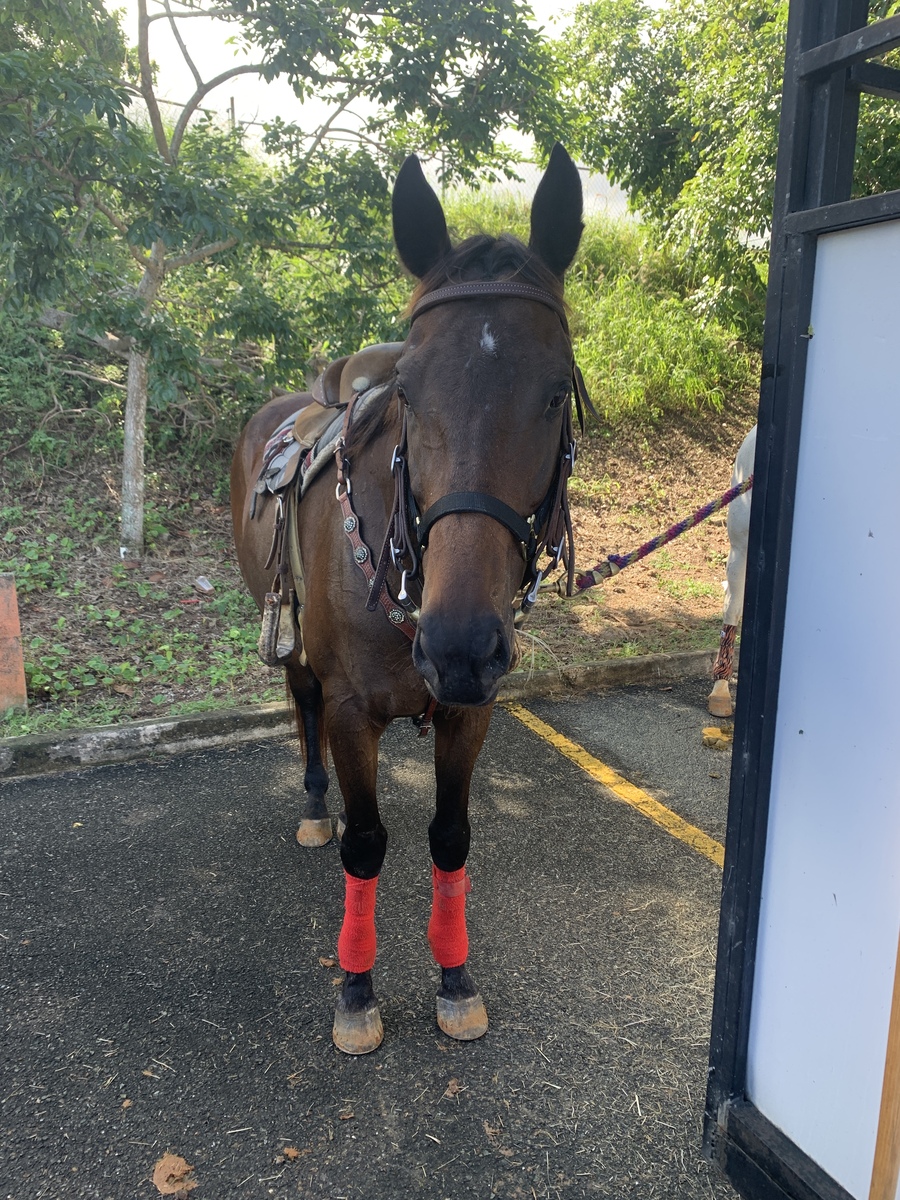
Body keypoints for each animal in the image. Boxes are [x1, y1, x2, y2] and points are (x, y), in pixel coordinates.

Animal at [231, 145, 586, 1055]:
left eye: (554, 392)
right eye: (410, 393)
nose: (458, 645)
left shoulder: (470, 710)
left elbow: (450, 836)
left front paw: (455, 979)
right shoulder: (355, 711)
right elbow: (366, 843)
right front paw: (356, 990)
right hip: (295, 646)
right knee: (301, 703)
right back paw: (312, 803)